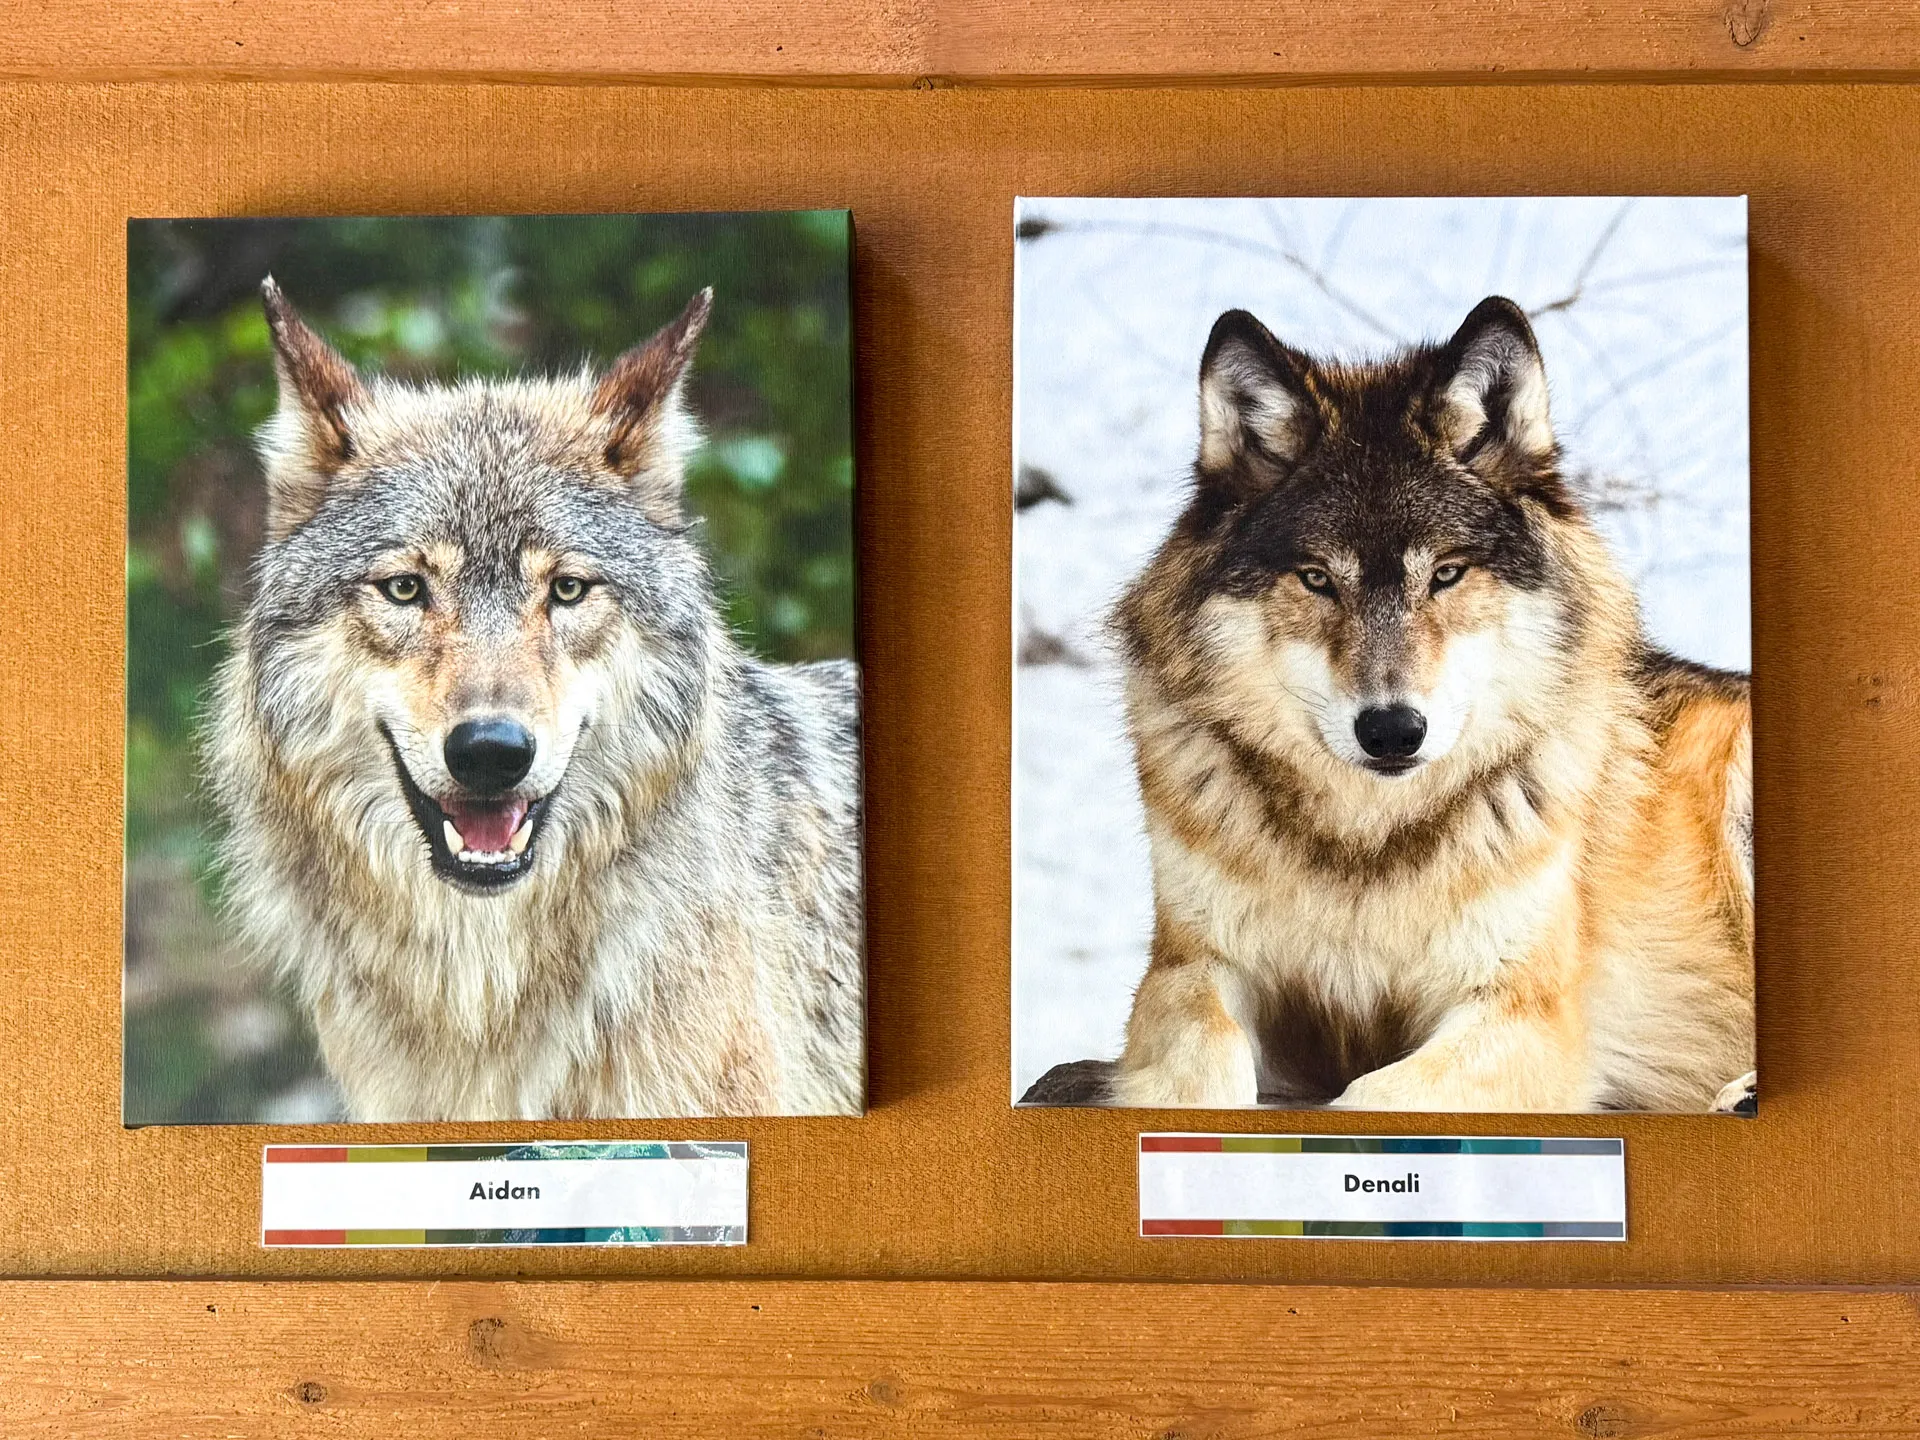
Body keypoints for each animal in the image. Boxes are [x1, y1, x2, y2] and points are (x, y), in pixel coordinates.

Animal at [1102, 296, 1753, 1113]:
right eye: (1317, 578)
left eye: (1446, 573)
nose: (1391, 730)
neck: (1365, 849)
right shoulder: (1189, 967)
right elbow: (1202, 1065)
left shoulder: (1522, 1010)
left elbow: (1369, 1098)